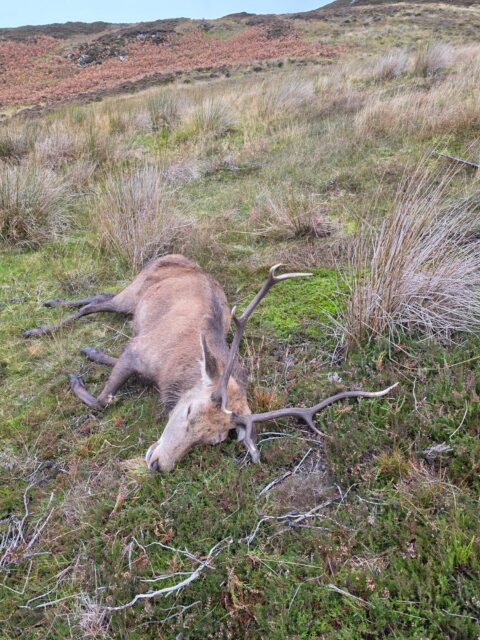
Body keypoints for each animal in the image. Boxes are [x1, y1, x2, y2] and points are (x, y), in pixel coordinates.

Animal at [23, 254, 397, 471]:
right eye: (189, 411)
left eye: (214, 441)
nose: (158, 465)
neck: (171, 372)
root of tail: (170, 254)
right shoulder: (138, 349)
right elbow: (103, 401)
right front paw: (76, 378)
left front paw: (93, 353)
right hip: (134, 289)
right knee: (93, 305)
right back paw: (39, 324)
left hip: (132, 299)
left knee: (100, 297)